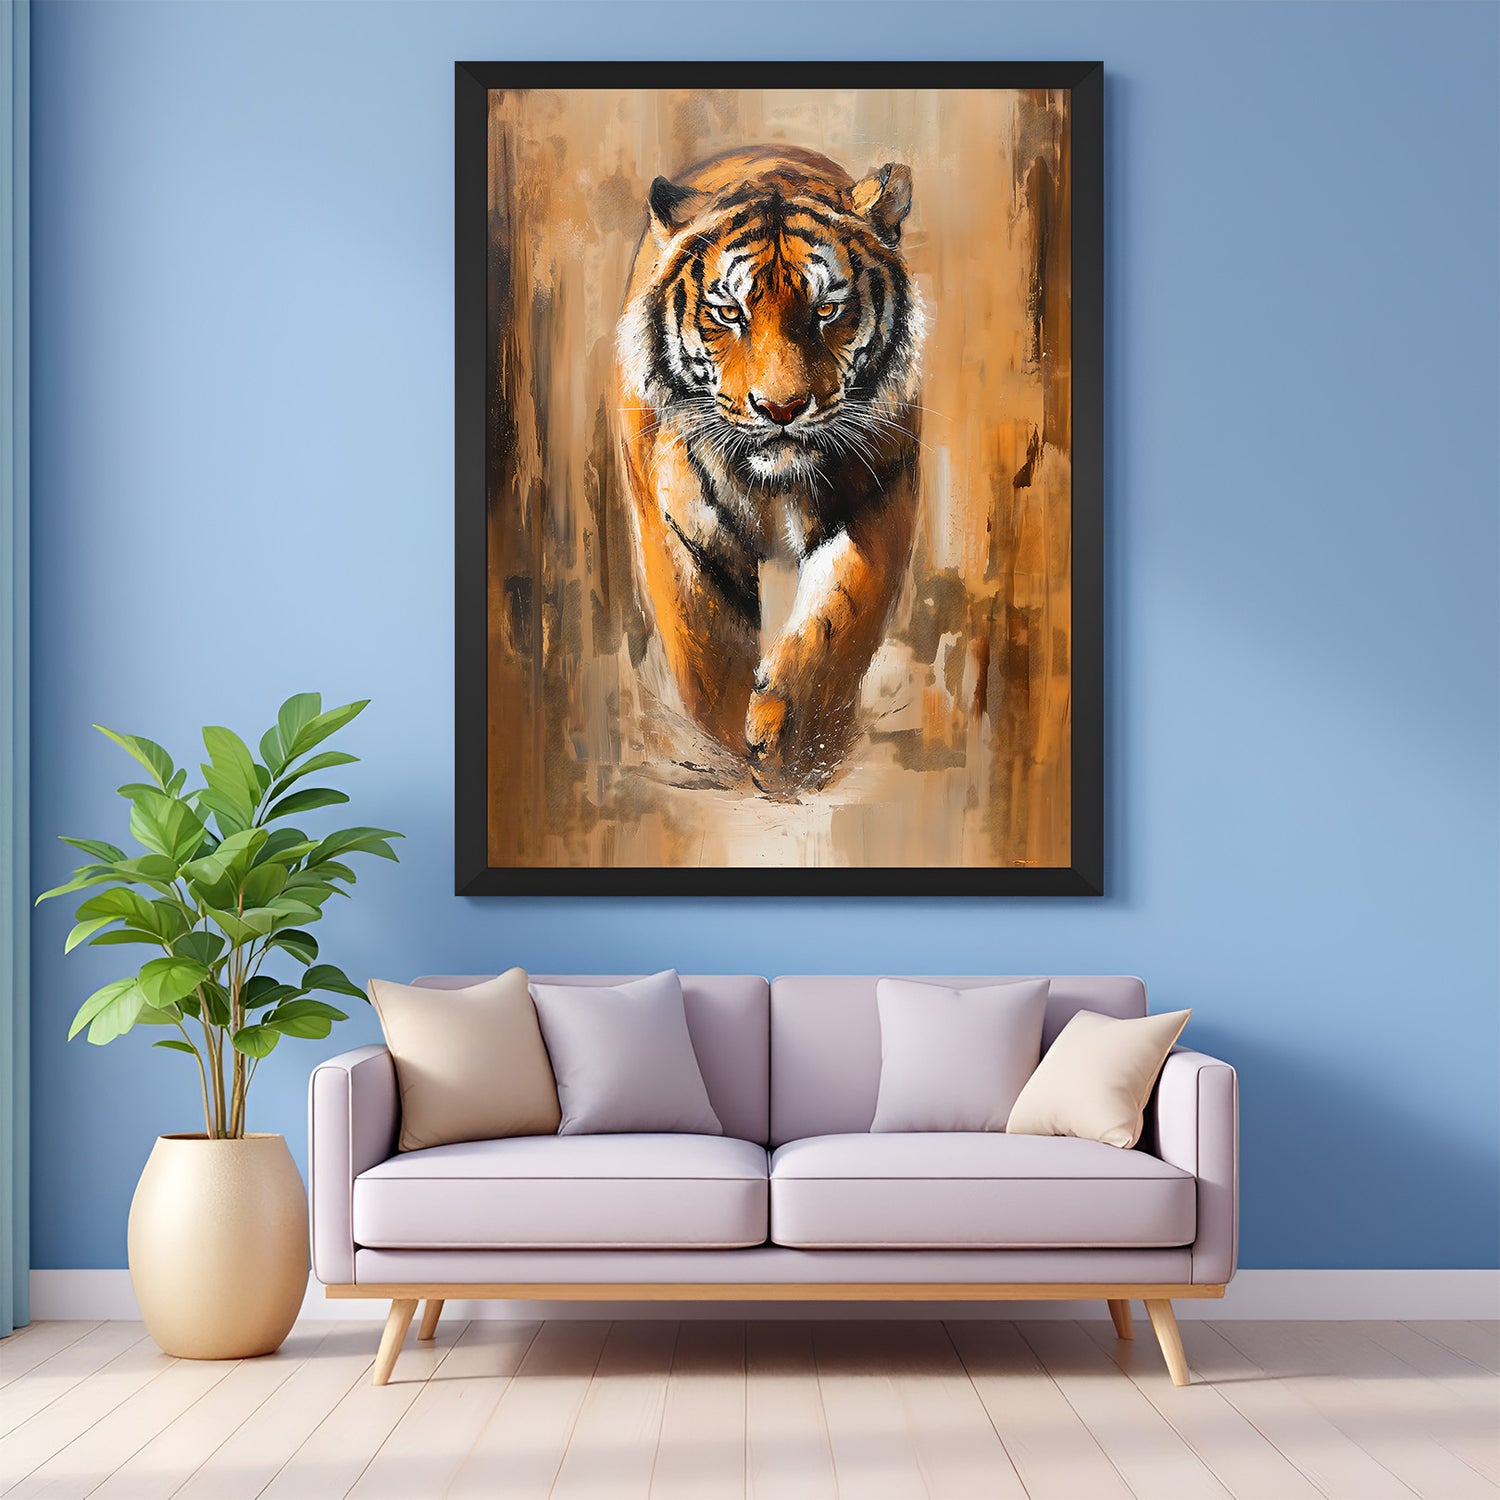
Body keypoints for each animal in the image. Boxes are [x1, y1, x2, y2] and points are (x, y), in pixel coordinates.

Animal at [614, 144, 924, 795]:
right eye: (728, 312)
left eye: (827, 309)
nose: (781, 409)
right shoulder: (680, 529)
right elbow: (707, 650)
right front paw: (737, 747)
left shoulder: (877, 499)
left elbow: (836, 623)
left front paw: (794, 746)